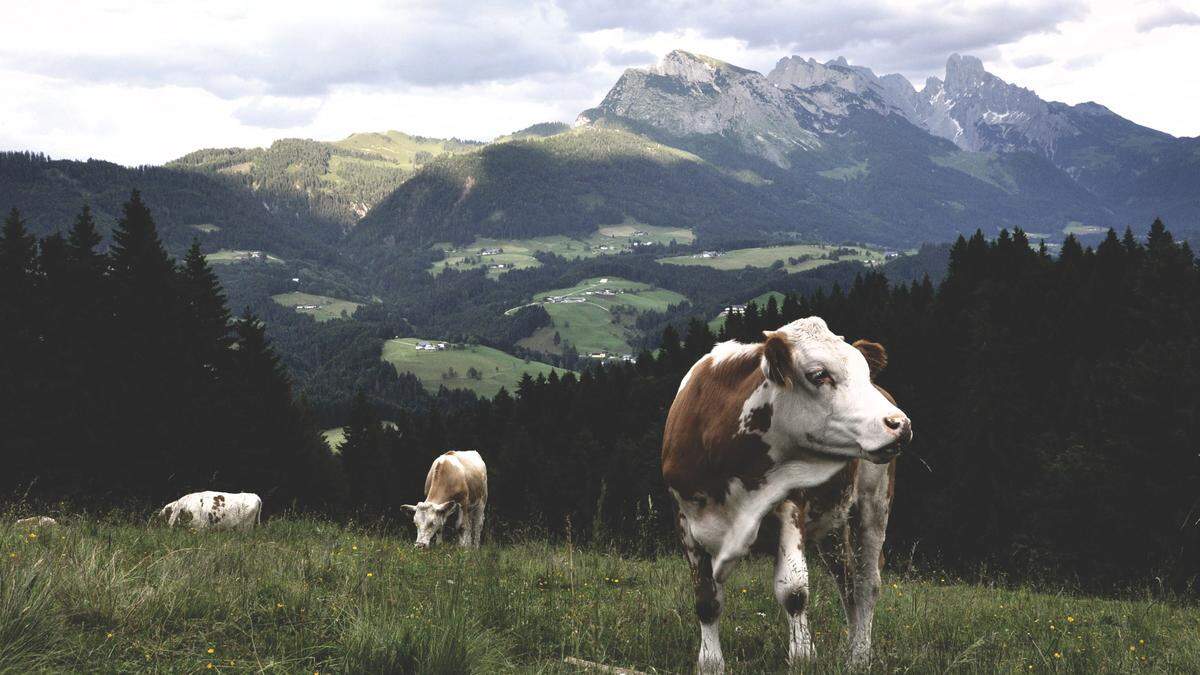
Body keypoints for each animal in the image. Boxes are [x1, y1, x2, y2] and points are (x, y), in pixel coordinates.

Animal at [667, 317, 907, 672]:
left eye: (864, 371)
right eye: (819, 374)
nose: (899, 423)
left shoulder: (790, 504)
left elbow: (794, 590)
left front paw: (803, 656)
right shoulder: (685, 519)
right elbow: (706, 599)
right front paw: (710, 663)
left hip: (875, 501)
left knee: (867, 581)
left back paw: (859, 657)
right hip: (832, 524)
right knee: (846, 579)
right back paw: (850, 648)